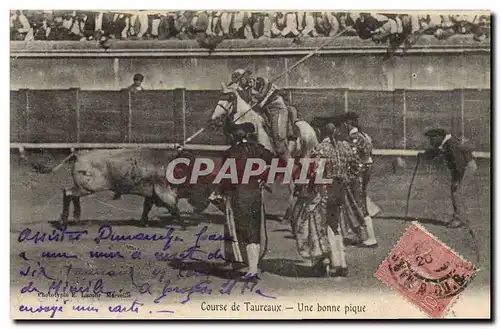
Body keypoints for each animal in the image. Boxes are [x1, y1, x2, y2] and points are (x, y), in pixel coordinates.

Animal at [58, 149, 219, 226]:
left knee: (73, 196)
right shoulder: (164, 192)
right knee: (68, 193)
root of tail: (80, 154)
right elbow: (174, 208)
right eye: (203, 184)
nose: (203, 205)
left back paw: (76, 218)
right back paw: (64, 221)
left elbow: (146, 207)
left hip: (84, 187)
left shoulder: (151, 194)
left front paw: (143, 222)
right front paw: (183, 225)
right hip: (88, 187)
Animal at [208, 84, 318, 220]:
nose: (214, 120)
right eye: (219, 97)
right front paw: (216, 196)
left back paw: (289, 212)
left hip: (305, 156)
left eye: (229, 98)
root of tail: (309, 128)